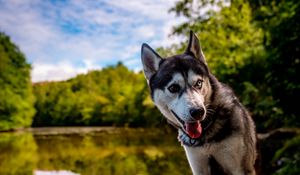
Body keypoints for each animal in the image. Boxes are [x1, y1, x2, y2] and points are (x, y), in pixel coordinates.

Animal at [141, 31, 255, 175]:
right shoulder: (198, 166)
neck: (206, 137)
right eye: (173, 88)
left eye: (199, 83)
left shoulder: (240, 169)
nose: (198, 112)